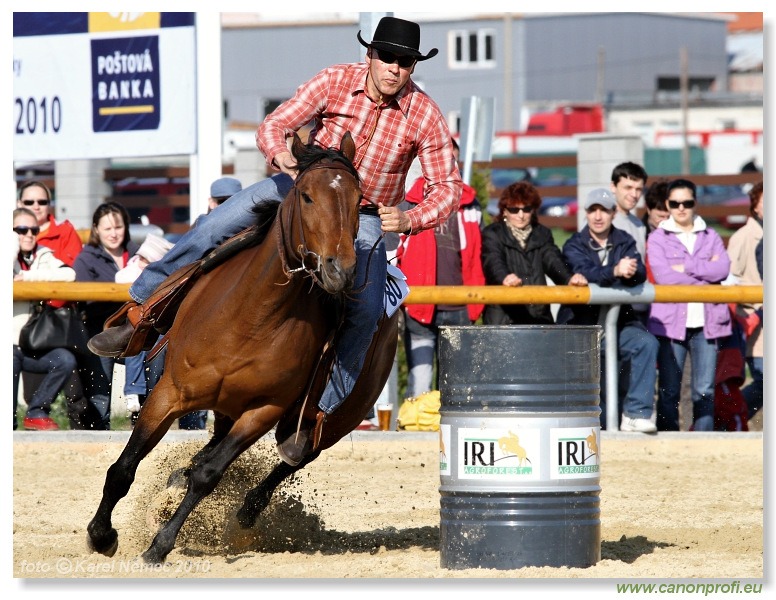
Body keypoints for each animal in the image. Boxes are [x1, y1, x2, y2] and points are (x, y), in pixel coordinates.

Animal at [86, 131, 400, 564]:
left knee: (297, 455)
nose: (340, 270)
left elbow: (208, 476)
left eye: (358, 200)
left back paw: (250, 507)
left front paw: (160, 545)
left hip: (337, 420)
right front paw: (101, 536)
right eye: (306, 195)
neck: (253, 317)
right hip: (220, 406)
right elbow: (123, 468)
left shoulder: (263, 411)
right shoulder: (168, 393)